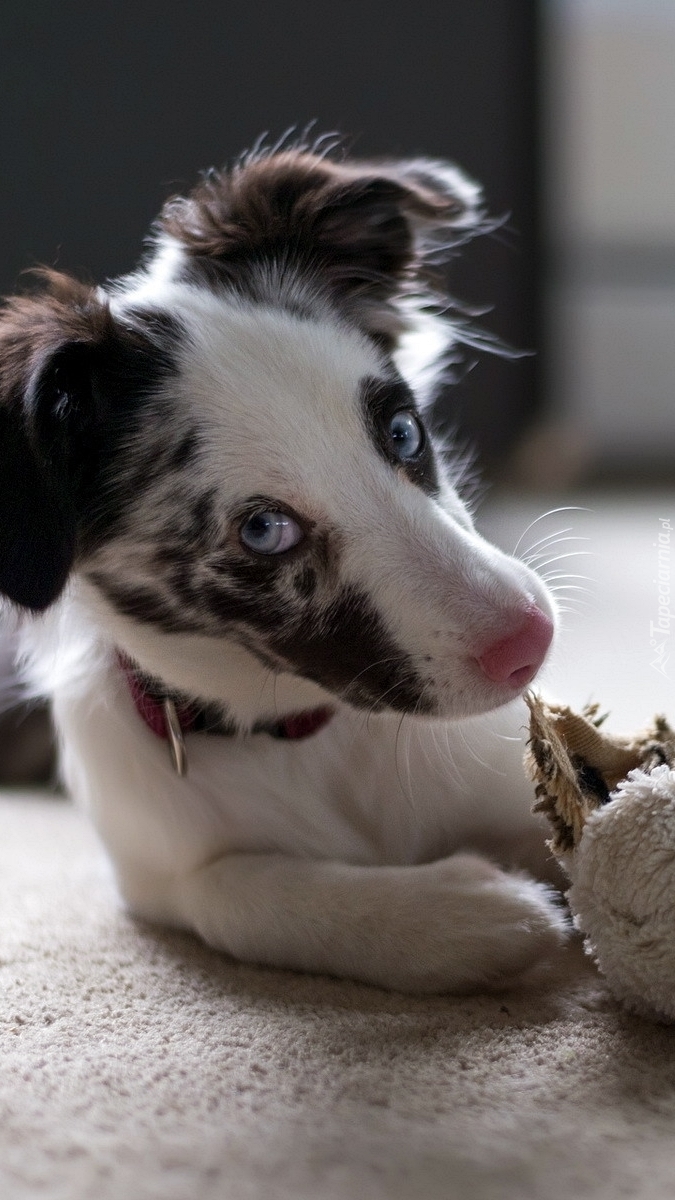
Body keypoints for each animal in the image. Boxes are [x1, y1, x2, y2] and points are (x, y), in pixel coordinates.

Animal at [0, 138, 564, 993]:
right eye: (264, 530)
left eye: (402, 431)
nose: (531, 643)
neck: (306, 737)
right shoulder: (159, 870)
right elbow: (240, 894)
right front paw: (471, 914)